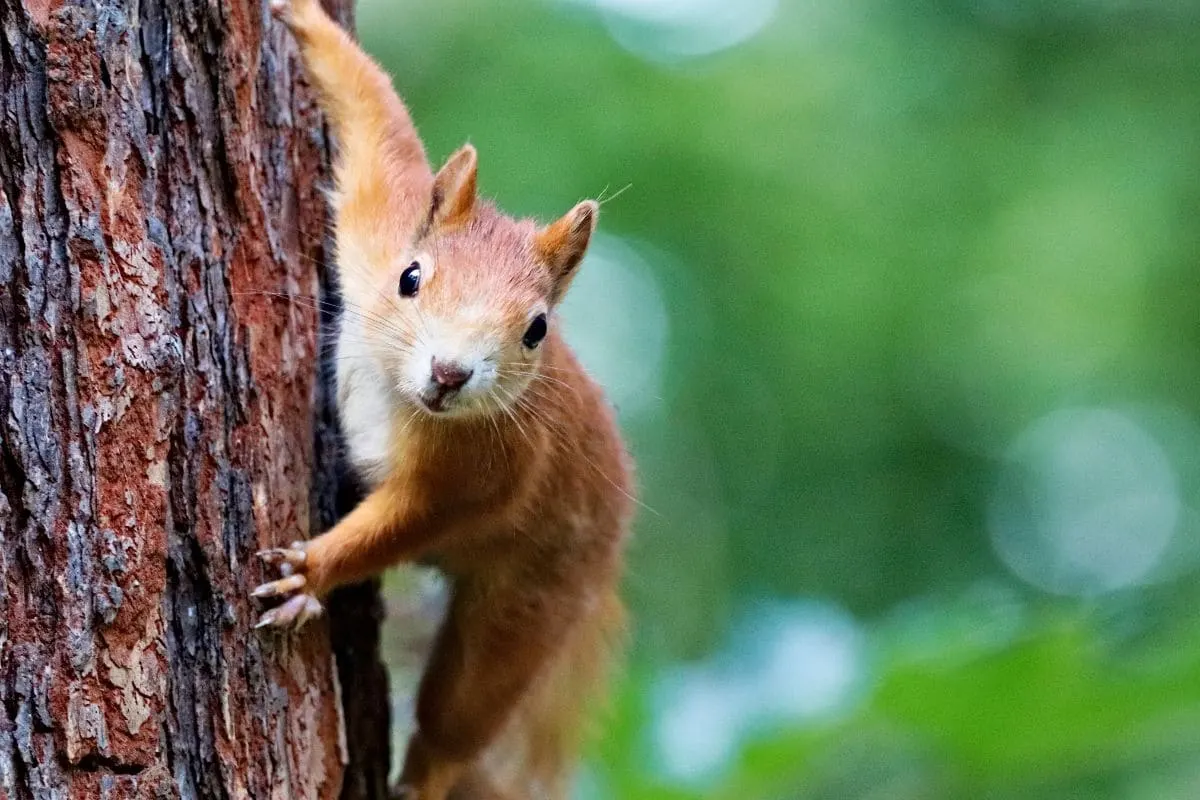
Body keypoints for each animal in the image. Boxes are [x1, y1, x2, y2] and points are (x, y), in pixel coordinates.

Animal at [254, 1, 638, 800]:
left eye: (536, 329)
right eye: (410, 276)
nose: (450, 372)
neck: (400, 397)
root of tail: (607, 563)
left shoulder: (487, 469)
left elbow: (405, 522)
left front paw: (314, 570)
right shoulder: (376, 227)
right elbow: (379, 125)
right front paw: (306, 23)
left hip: (531, 604)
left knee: (459, 715)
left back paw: (424, 778)